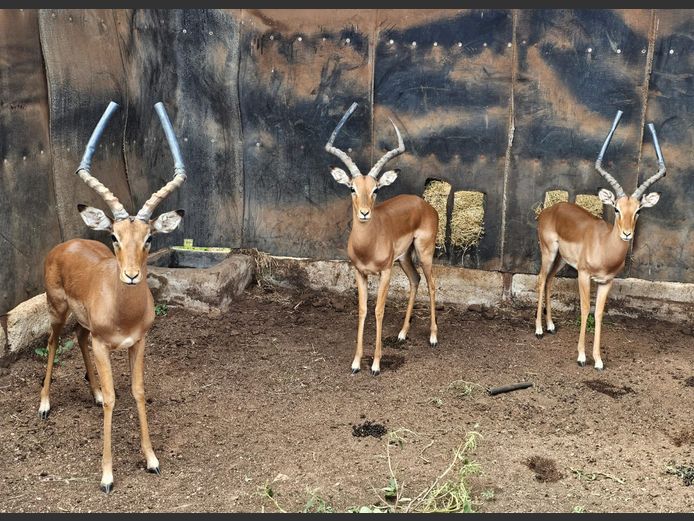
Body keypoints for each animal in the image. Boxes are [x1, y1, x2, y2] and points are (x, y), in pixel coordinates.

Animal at [39, 101, 187, 492]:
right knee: (55, 341)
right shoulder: (105, 345)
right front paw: (106, 476)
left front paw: (151, 460)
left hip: (82, 323)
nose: (132, 275)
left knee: (78, 337)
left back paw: (92, 392)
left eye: (149, 237)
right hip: (56, 310)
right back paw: (44, 405)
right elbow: (113, 401)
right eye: (114, 236)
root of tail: (65, 244)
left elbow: (135, 391)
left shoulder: (139, 342)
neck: (123, 314)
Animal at [325, 102, 439, 376]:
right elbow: (363, 310)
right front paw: (356, 363)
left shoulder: (385, 272)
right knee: (416, 280)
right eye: (352, 188)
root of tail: (426, 205)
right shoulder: (360, 272)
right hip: (405, 257)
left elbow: (378, 310)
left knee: (431, 284)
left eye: (376, 189)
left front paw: (376, 364)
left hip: (424, 253)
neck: (368, 245)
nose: (365, 213)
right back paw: (402, 334)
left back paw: (433, 337)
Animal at [535, 111, 666, 370]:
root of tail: (550, 210)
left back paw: (551, 326)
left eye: (638, 211)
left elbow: (598, 313)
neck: (604, 247)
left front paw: (598, 360)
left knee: (551, 280)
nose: (627, 233)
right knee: (542, 279)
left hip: (561, 260)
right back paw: (538, 330)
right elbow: (585, 309)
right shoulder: (584, 275)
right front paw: (581, 357)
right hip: (548, 252)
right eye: (616, 208)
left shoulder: (607, 282)